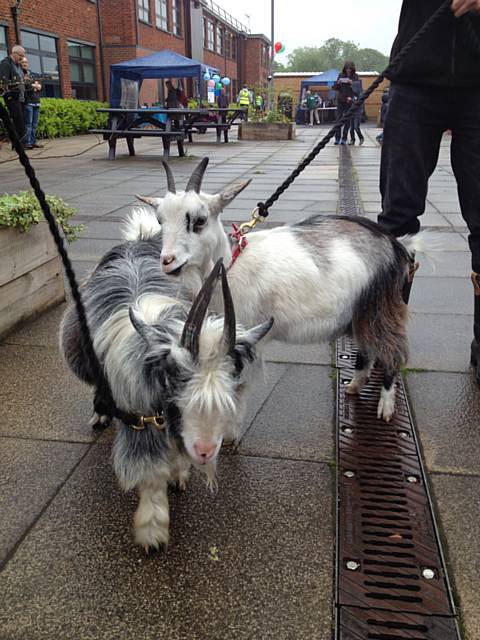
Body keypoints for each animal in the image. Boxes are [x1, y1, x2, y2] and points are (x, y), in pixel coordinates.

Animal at [59, 235, 274, 552]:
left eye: (228, 392)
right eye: (175, 378)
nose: (205, 451)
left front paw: (179, 475)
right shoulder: (139, 420)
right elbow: (151, 475)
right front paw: (153, 533)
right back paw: (100, 413)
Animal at [133, 158, 434, 422]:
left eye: (199, 220)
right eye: (160, 221)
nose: (167, 261)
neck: (229, 267)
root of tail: (397, 244)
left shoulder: (243, 337)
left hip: (380, 305)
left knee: (393, 350)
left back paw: (386, 406)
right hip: (359, 312)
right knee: (368, 348)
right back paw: (355, 385)